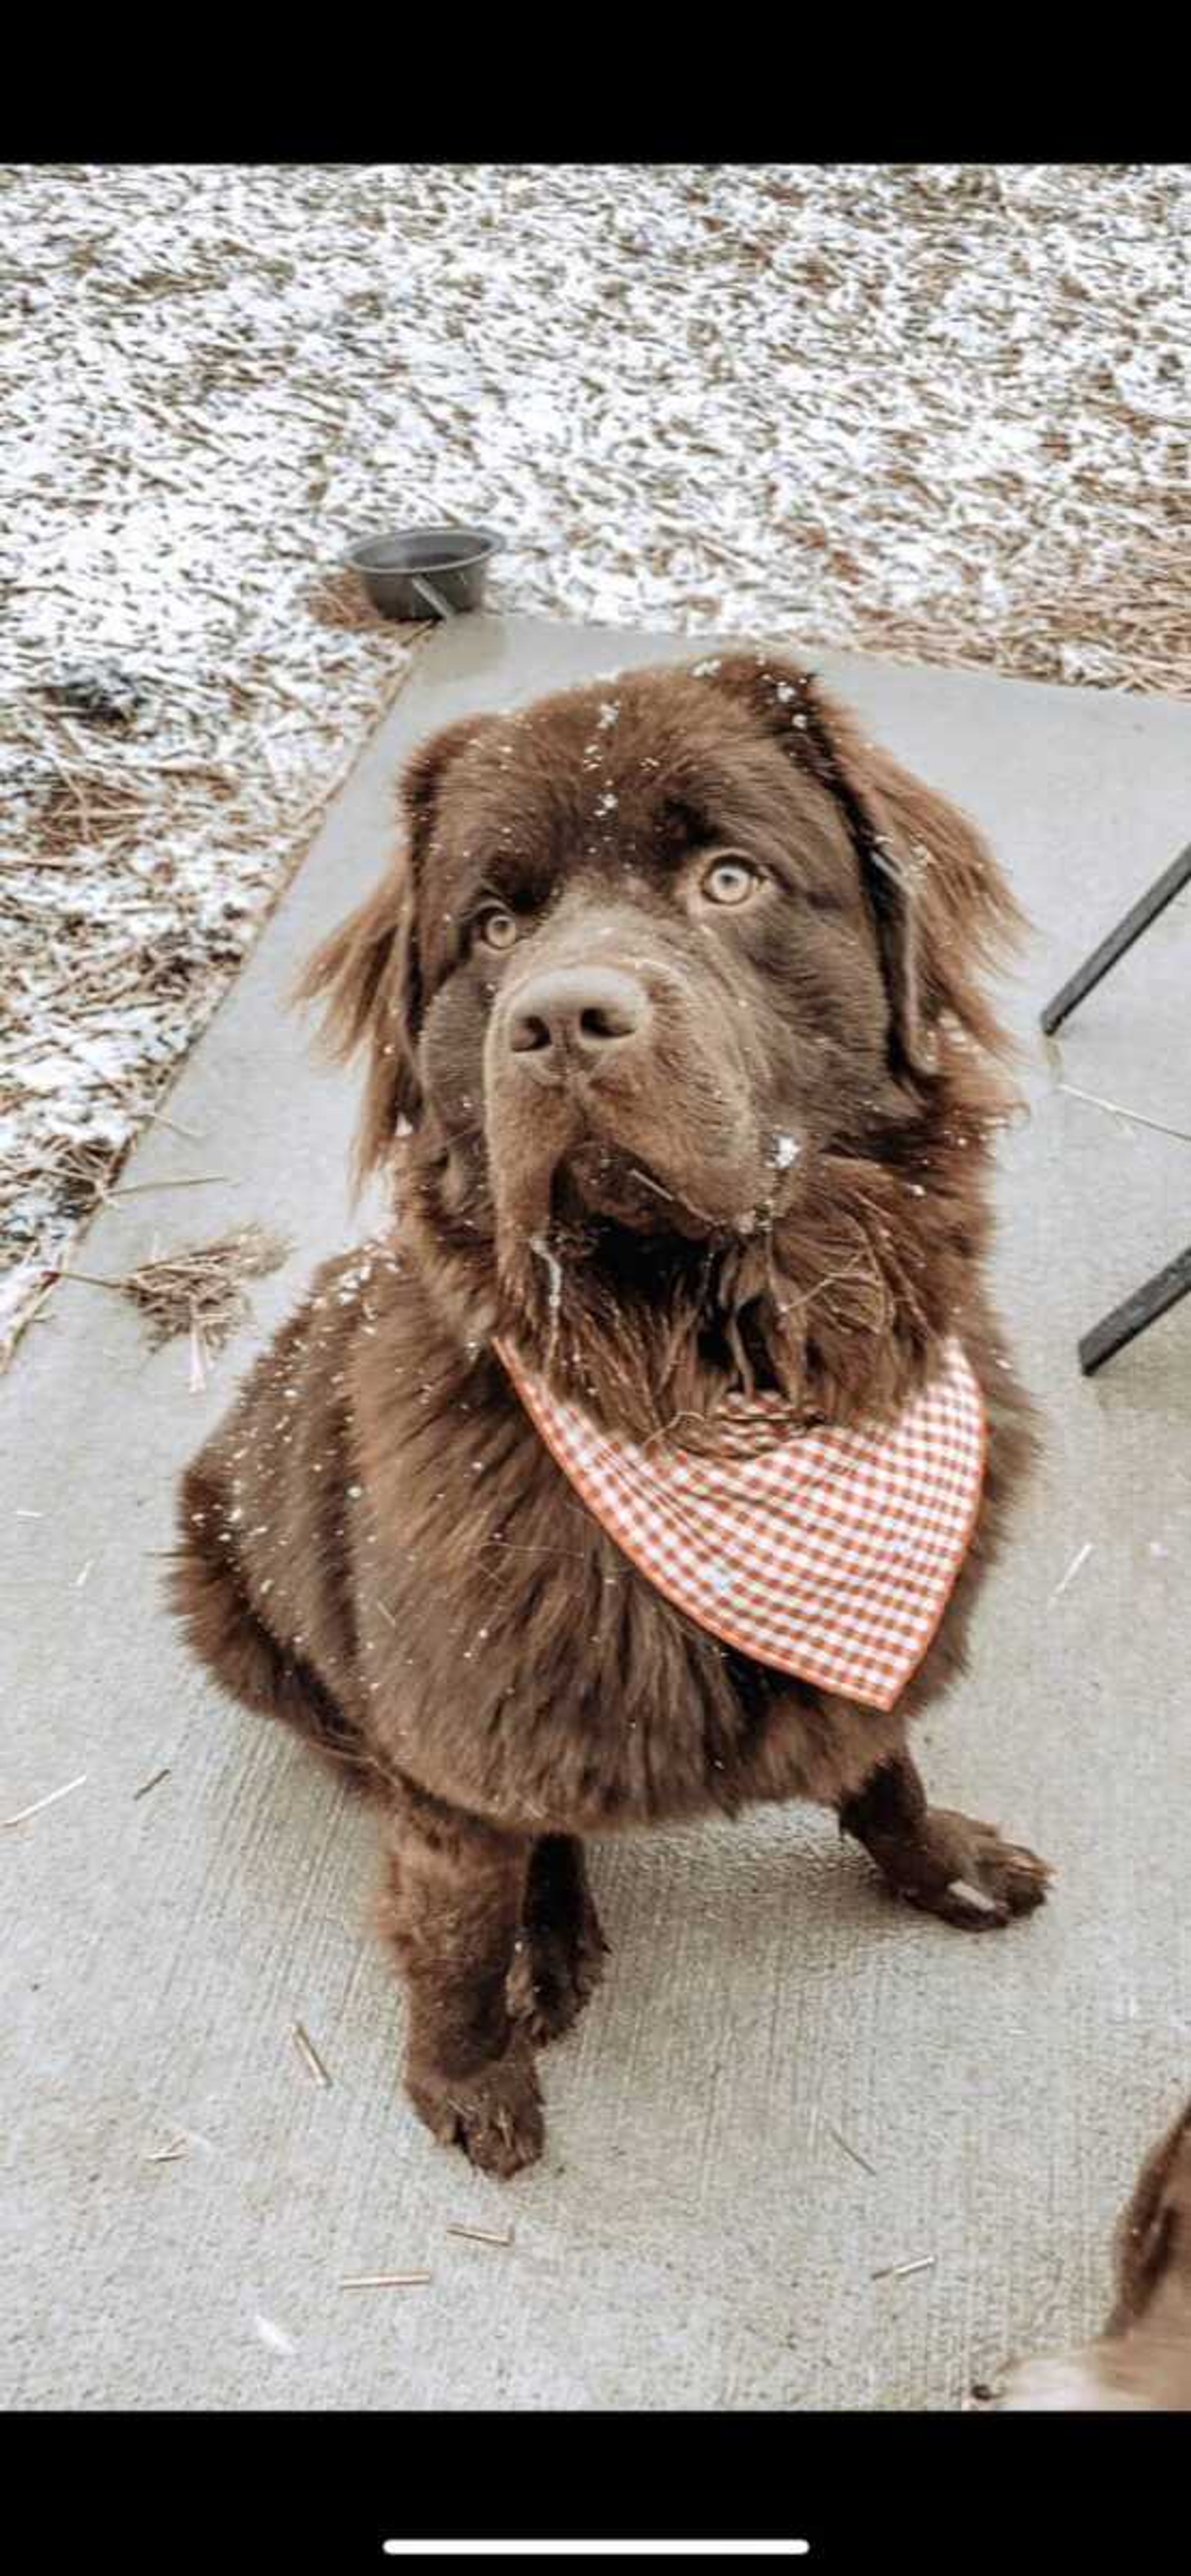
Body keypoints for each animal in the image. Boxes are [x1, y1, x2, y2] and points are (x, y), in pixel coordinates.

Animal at [170, 649, 1052, 2174]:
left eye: (730, 878)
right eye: (494, 925)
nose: (561, 1017)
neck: (704, 1370)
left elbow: (882, 1764)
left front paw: (946, 1864)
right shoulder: (455, 1739)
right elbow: (455, 1924)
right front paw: (468, 2074)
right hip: (227, 1589)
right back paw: (549, 1932)